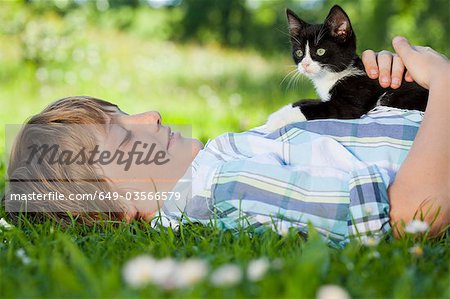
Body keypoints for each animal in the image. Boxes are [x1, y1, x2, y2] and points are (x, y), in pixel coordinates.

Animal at [266, 4, 428, 131]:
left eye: (320, 51)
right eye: (299, 53)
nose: (305, 65)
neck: (335, 75)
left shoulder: (350, 102)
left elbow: (313, 108)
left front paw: (276, 121)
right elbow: (308, 101)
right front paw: (278, 113)